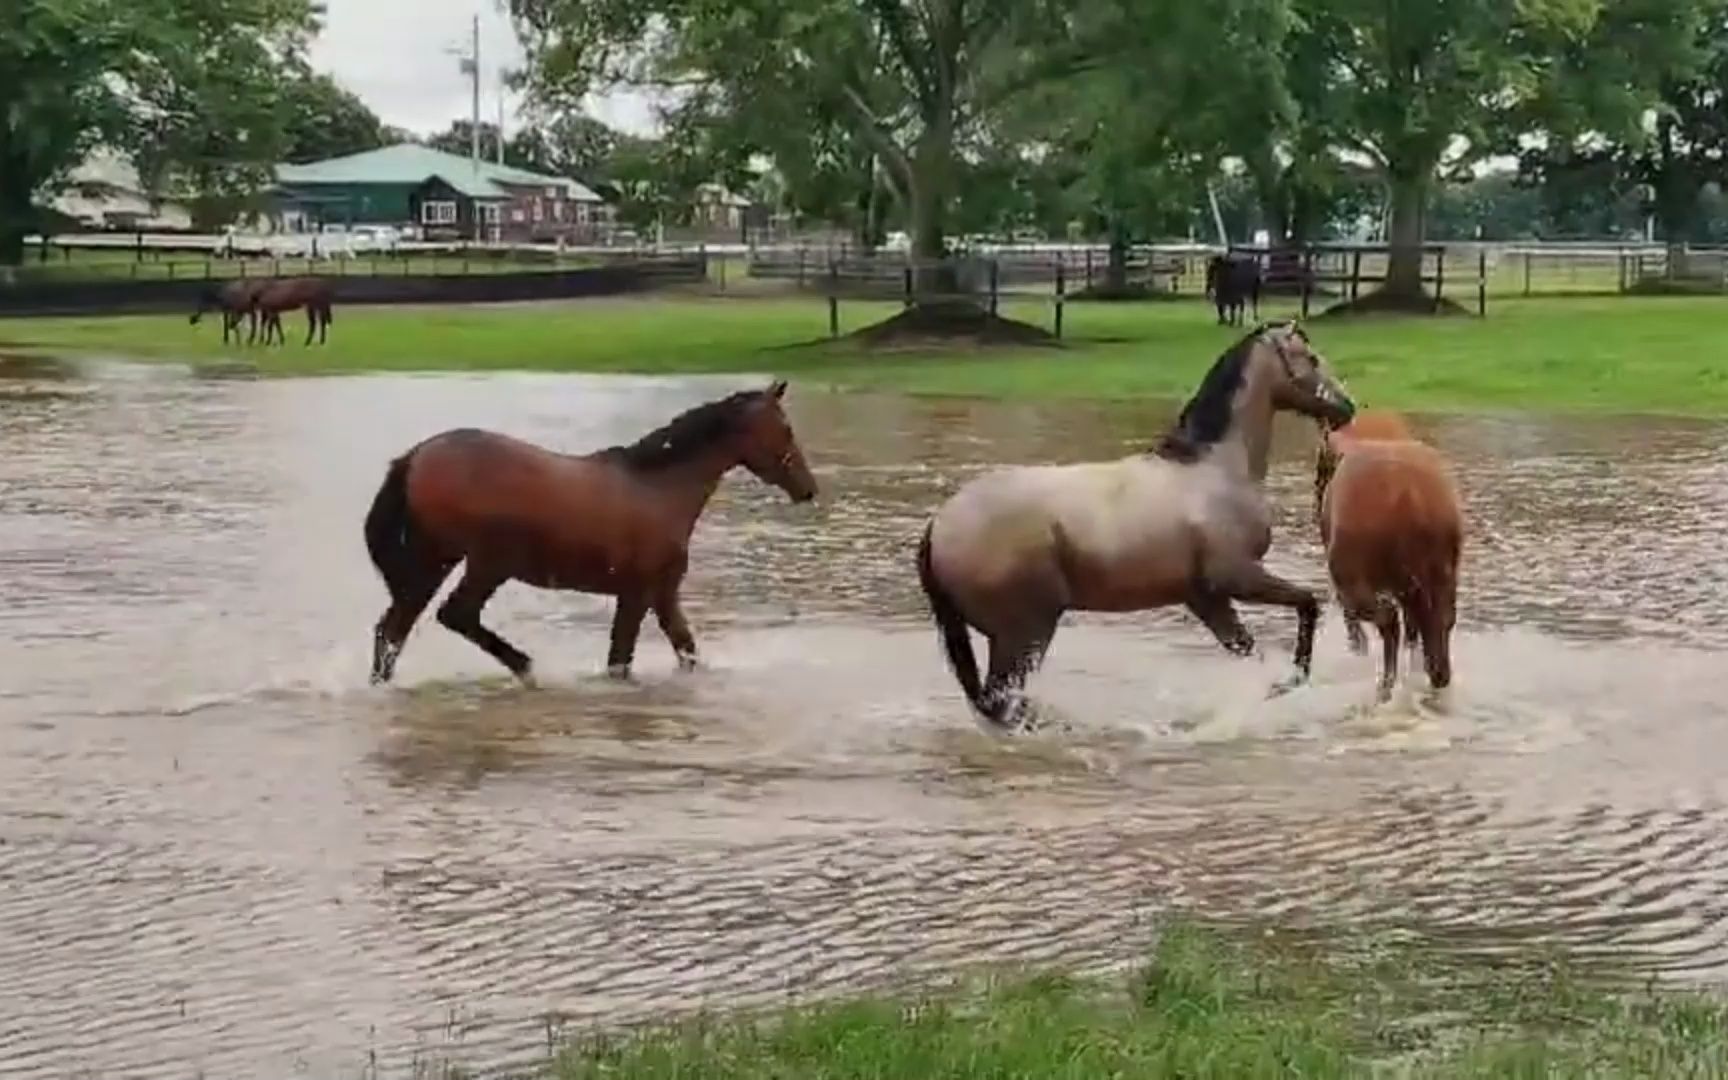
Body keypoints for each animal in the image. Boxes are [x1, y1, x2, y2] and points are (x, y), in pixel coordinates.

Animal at [362, 378, 815, 680]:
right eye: (786, 429)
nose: (808, 489)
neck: (658, 489)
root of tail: (415, 457)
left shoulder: (662, 595)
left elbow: (684, 650)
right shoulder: (638, 594)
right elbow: (622, 660)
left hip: (435, 562)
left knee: (393, 630)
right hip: (484, 563)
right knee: (452, 615)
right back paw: (526, 667)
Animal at [919, 317, 1361, 725]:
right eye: (1311, 358)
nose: (1347, 407)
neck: (1214, 467)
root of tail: (939, 526)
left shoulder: (1205, 597)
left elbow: (1247, 649)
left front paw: (1272, 686)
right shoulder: (1237, 575)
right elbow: (1308, 603)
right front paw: (1292, 679)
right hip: (1024, 632)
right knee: (1002, 702)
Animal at [1313, 407, 1465, 705]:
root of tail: (1411, 498)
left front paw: (1358, 647)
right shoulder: (1412, 586)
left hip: (1354, 576)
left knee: (1388, 619)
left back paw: (1385, 685)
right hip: (1442, 572)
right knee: (1438, 622)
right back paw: (1433, 678)